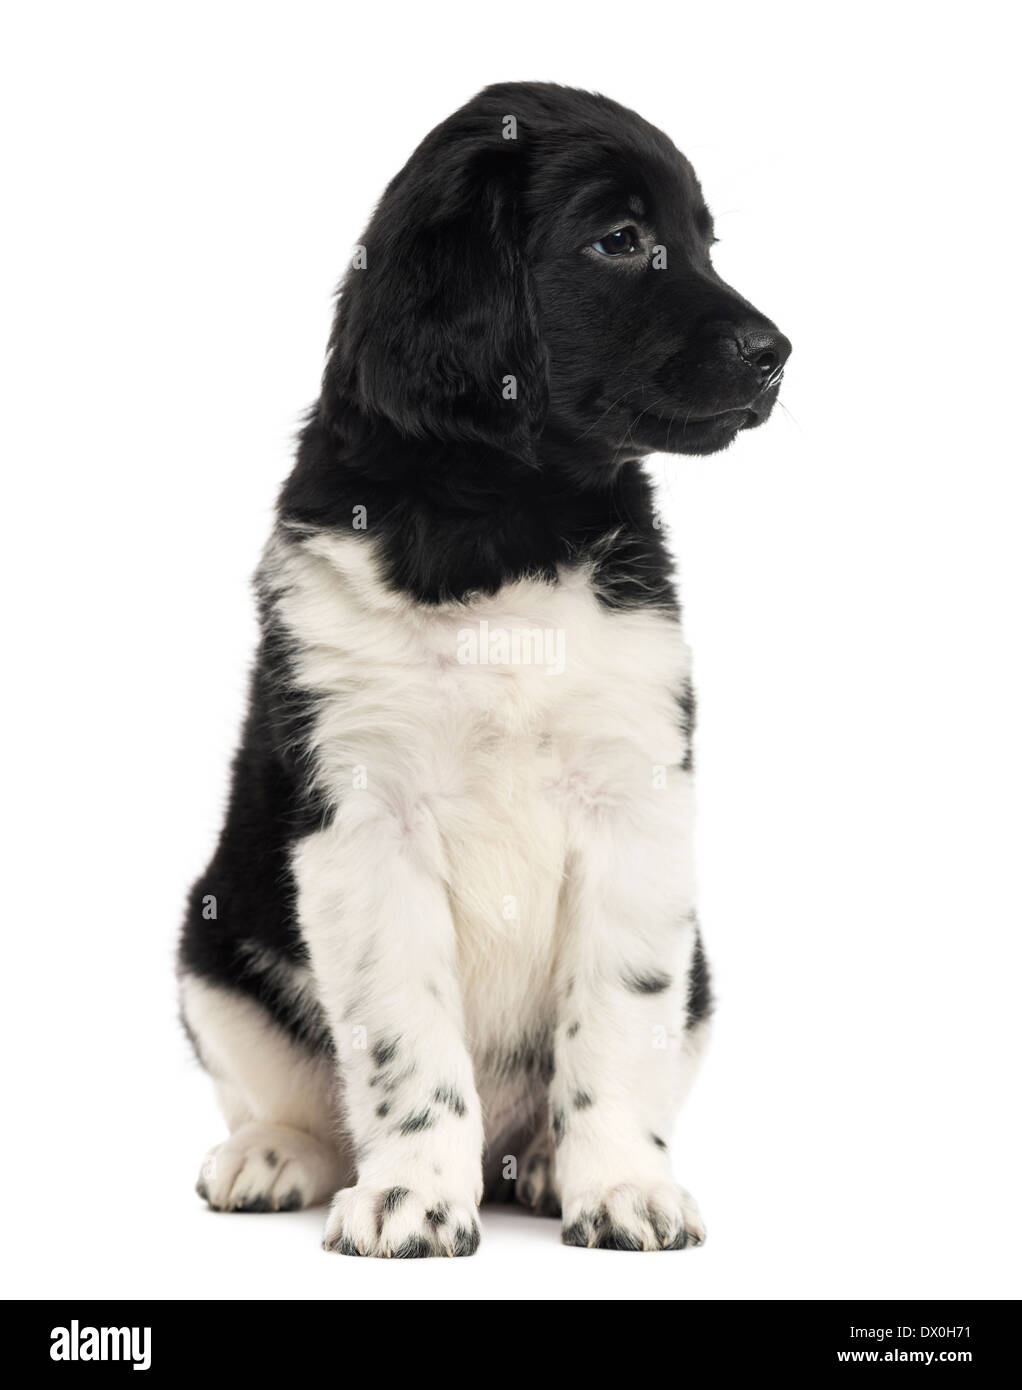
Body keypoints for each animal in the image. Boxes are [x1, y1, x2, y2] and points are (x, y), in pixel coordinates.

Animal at [179, 86, 795, 1262]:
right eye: (619, 240)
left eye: (704, 242)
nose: (777, 350)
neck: (504, 522)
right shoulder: (365, 816)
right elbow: (403, 1037)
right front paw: (411, 1194)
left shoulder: (634, 794)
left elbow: (616, 1018)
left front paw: (622, 1186)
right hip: (213, 943)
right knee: (289, 1093)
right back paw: (275, 1156)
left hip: (698, 978)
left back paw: (549, 1163)